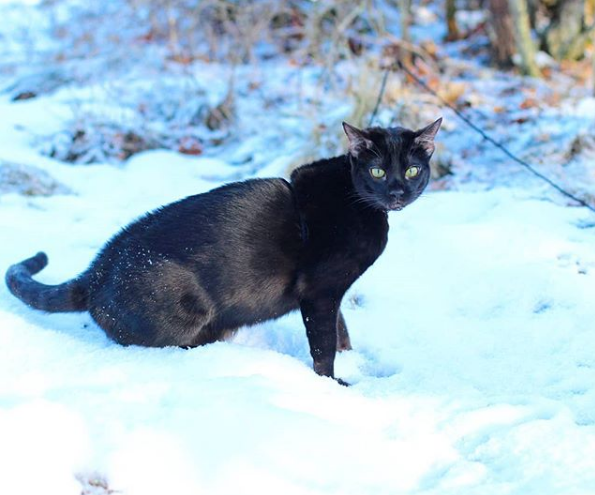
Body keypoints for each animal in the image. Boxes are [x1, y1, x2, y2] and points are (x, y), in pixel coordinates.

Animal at [5, 120, 442, 384]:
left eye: (413, 170)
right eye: (378, 172)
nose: (397, 192)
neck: (359, 204)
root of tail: (97, 270)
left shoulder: (330, 294)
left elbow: (341, 330)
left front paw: (354, 359)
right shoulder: (319, 291)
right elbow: (323, 345)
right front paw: (334, 384)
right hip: (184, 311)